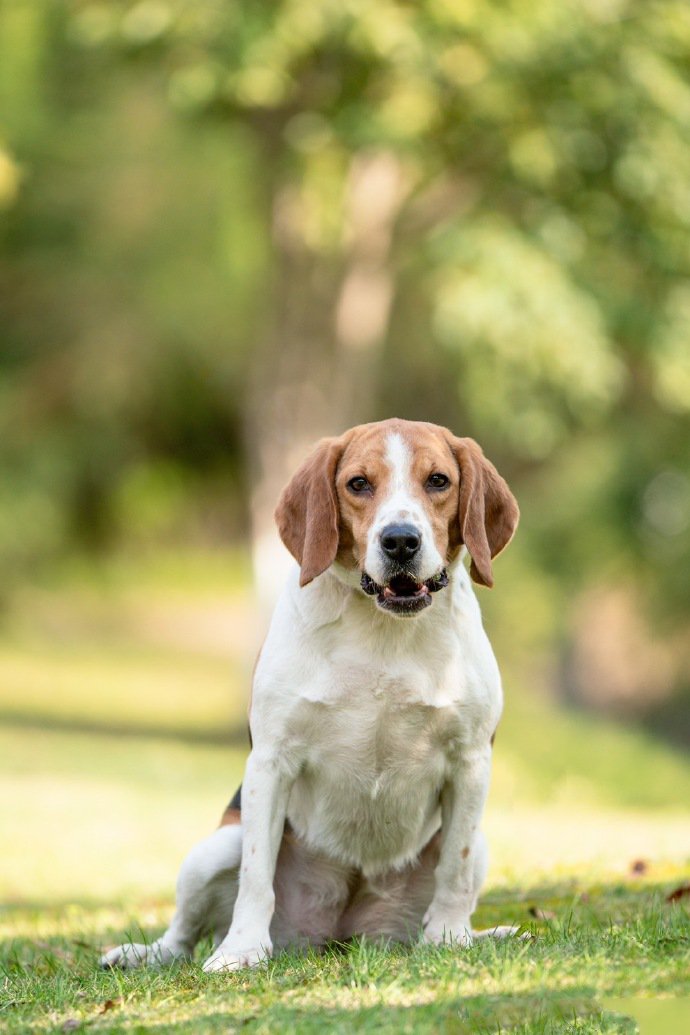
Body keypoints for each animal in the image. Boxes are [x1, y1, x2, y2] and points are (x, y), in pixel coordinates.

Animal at [102, 418, 521, 968]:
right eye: (358, 484)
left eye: (438, 481)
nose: (400, 541)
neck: (382, 630)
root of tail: (337, 935)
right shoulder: (270, 762)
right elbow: (255, 875)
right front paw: (242, 952)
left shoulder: (471, 762)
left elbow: (455, 867)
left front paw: (448, 938)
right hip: (214, 848)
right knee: (182, 936)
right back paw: (144, 953)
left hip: (477, 848)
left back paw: (480, 935)